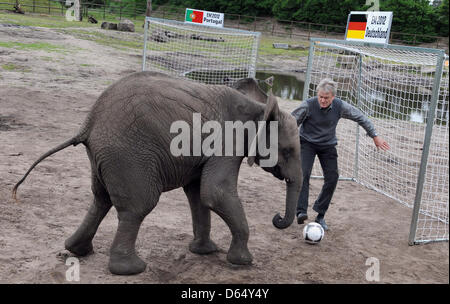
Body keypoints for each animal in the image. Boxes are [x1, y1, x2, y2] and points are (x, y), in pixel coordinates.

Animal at [13, 72, 302, 276]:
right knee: (138, 206)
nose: (278, 218)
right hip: (129, 154)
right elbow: (215, 192)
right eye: (288, 151)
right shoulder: (227, 142)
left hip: (105, 156)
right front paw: (243, 262)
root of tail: (88, 123)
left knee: (100, 199)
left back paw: (77, 250)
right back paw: (130, 269)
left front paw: (205, 252)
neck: (259, 108)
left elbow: (198, 194)